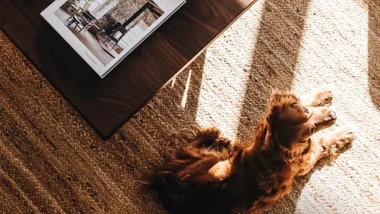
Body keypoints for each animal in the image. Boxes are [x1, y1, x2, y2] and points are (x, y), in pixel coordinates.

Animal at [151, 88, 354, 214]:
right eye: (308, 132)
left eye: (305, 110)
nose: (333, 115)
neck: (275, 150)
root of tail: (164, 186)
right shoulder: (306, 161)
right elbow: (323, 143)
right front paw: (343, 134)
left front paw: (322, 95)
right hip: (218, 166)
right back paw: (214, 135)